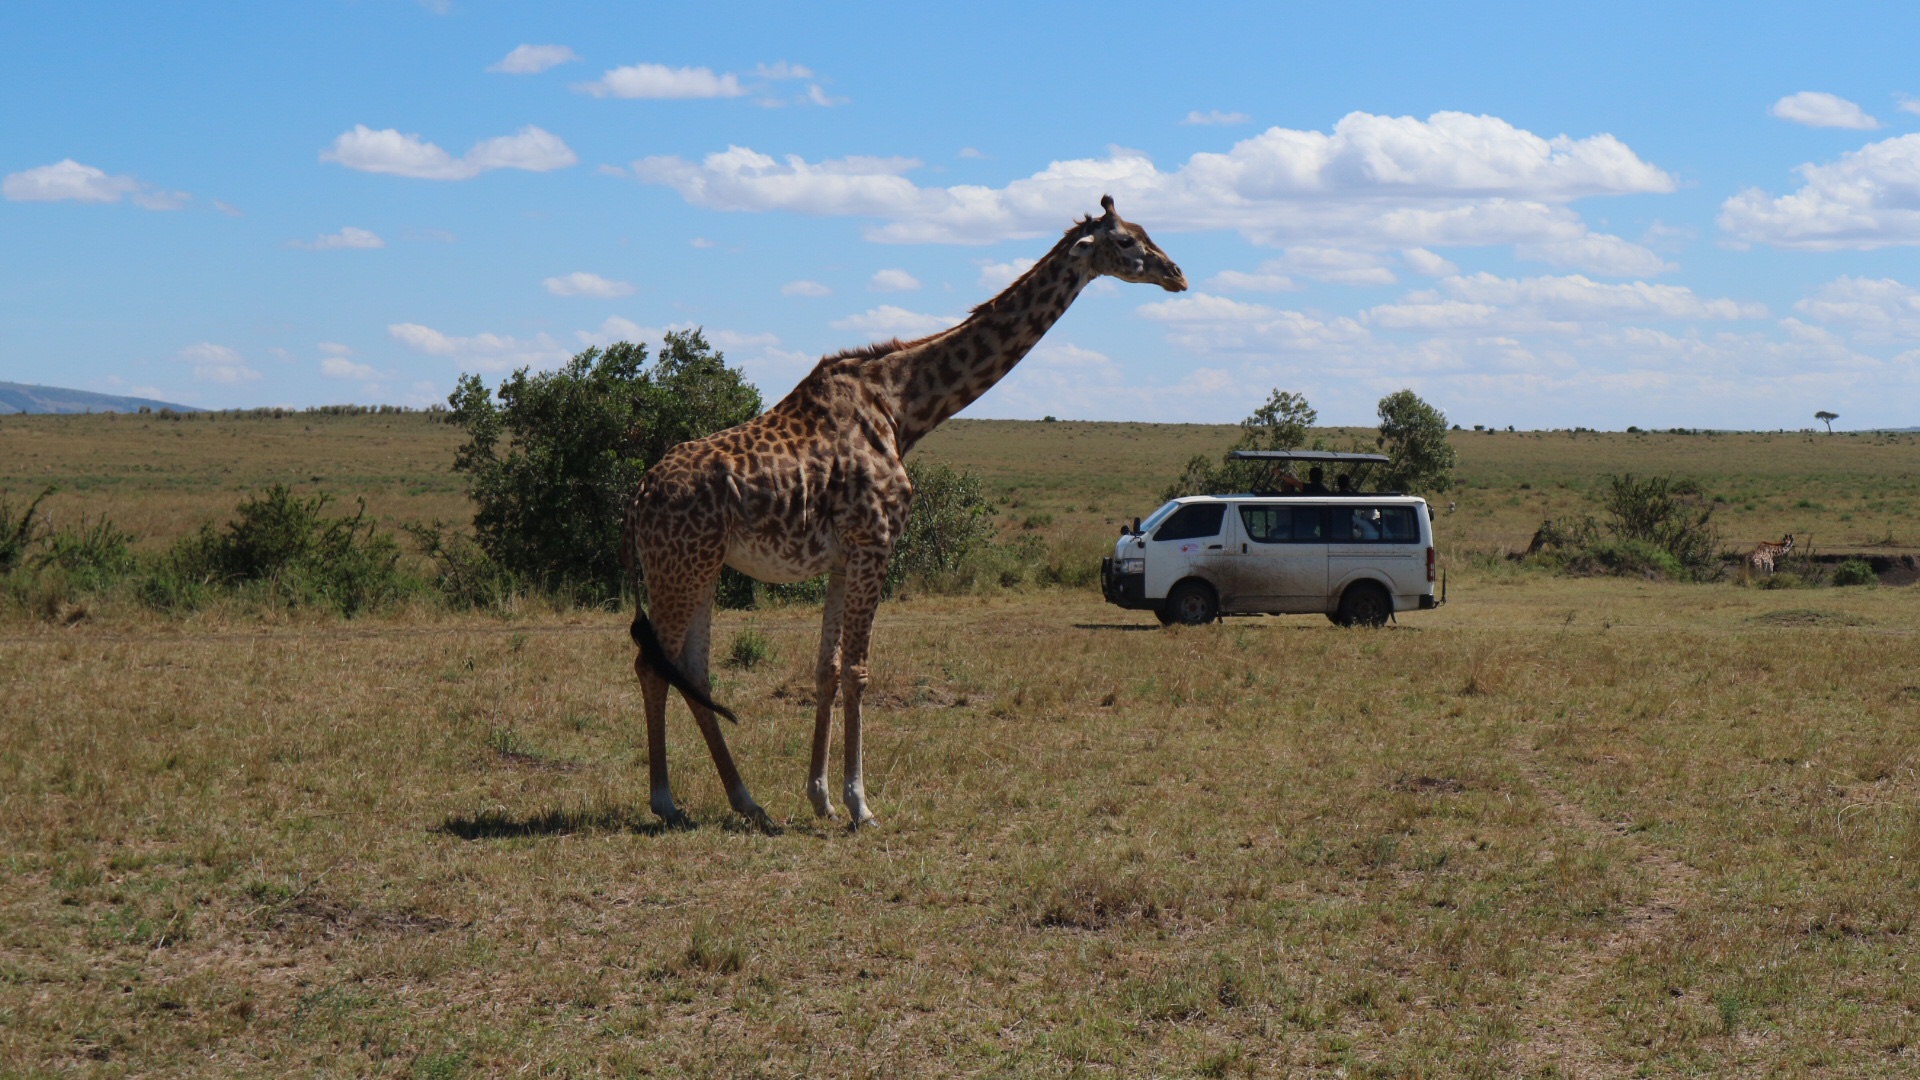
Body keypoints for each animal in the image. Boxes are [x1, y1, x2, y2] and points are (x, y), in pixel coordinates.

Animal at [622, 193, 1182, 826]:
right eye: (1128, 241)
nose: (1178, 275)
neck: (902, 406)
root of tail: (638, 498)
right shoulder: (876, 543)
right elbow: (858, 670)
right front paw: (860, 803)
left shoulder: (844, 557)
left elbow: (827, 668)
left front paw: (820, 797)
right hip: (680, 566)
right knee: (654, 666)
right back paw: (667, 802)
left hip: (700, 566)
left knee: (690, 669)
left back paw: (749, 803)